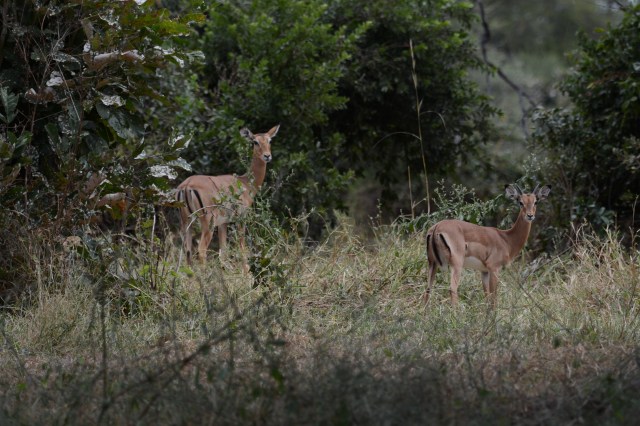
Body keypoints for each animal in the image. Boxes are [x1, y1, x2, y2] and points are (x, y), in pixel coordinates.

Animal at [176, 125, 279, 266]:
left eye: (269, 140)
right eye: (255, 142)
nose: (267, 156)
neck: (245, 183)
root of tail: (187, 185)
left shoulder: (223, 223)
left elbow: (223, 253)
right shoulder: (241, 219)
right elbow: (242, 250)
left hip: (186, 223)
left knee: (187, 252)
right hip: (207, 224)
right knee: (201, 250)